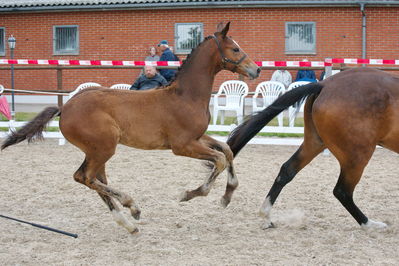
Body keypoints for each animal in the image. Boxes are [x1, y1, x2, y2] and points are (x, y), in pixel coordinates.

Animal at [1, 23, 260, 235]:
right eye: (235, 49)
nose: (255, 70)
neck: (185, 96)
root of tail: (65, 107)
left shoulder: (197, 138)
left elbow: (226, 150)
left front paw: (227, 195)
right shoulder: (182, 145)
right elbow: (219, 159)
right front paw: (190, 194)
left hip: (97, 151)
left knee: (93, 179)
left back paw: (127, 223)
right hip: (104, 148)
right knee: (84, 176)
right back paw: (132, 206)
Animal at [228, 67, 399, 230]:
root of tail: (325, 84)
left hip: (315, 143)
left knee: (287, 170)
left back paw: (266, 217)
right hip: (357, 155)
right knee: (342, 191)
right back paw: (370, 225)